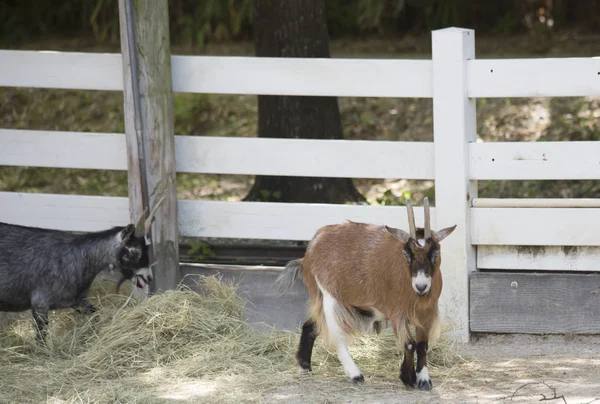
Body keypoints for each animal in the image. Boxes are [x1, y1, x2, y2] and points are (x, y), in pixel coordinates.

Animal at [276, 197, 454, 390]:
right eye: (406, 253)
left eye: (436, 252)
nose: (421, 286)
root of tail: (308, 253)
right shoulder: (397, 312)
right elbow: (409, 344)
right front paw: (408, 378)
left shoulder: (426, 313)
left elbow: (422, 345)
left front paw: (424, 380)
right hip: (328, 296)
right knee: (337, 336)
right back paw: (355, 375)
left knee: (310, 326)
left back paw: (305, 367)